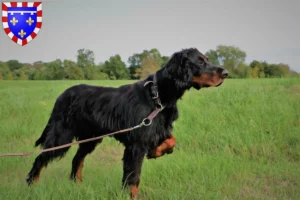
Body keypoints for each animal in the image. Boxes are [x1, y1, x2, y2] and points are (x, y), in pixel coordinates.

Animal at [27, 47, 229, 199]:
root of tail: (61, 96)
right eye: (200, 62)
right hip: (62, 135)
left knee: (77, 159)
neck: (158, 95)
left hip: (90, 138)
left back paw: (77, 185)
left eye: (207, 59)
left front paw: (155, 152)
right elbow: (133, 178)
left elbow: (171, 141)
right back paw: (31, 185)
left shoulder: (155, 130)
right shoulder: (136, 145)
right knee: (40, 158)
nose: (226, 73)